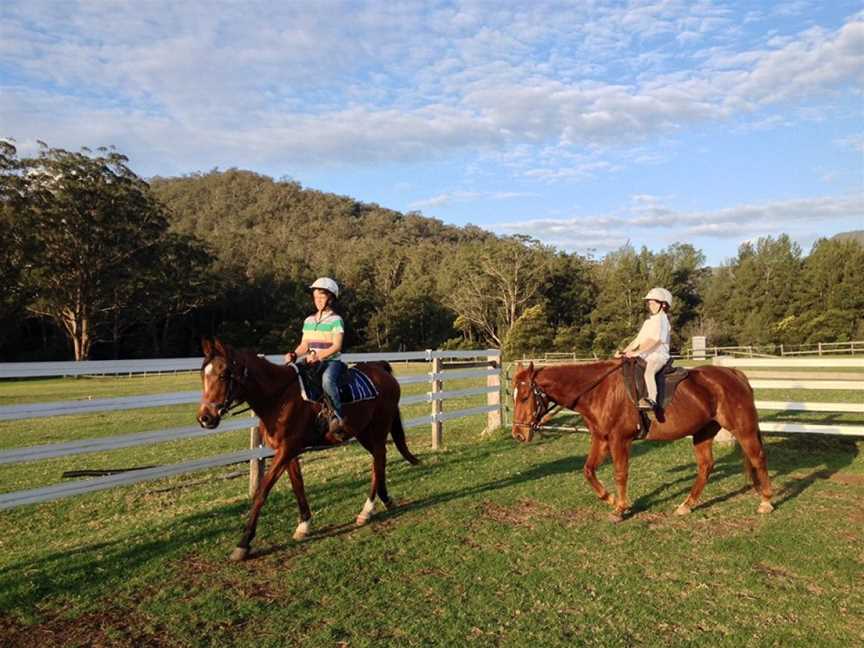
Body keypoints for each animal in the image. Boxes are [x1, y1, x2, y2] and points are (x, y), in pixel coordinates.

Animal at [199, 340, 422, 560]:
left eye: (223, 374)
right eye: (203, 374)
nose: (205, 418)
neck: (279, 398)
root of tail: (381, 370)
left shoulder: (286, 450)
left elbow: (262, 491)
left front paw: (243, 543)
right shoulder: (289, 452)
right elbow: (298, 486)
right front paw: (304, 525)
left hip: (378, 429)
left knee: (378, 461)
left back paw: (367, 510)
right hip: (364, 432)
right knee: (379, 460)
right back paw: (384, 500)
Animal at [510, 360, 772, 520]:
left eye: (524, 397)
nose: (518, 434)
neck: (598, 392)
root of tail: (732, 373)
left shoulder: (619, 440)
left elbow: (620, 473)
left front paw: (620, 508)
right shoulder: (600, 439)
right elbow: (588, 470)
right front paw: (610, 498)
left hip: (743, 429)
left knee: (758, 458)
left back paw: (766, 501)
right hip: (703, 432)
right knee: (706, 466)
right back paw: (686, 505)